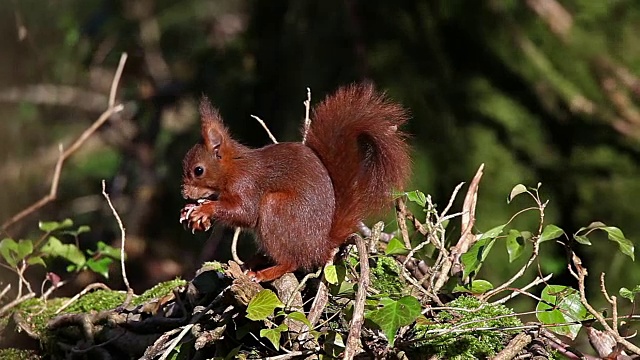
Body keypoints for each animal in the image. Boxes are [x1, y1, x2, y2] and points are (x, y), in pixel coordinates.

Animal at [180, 83, 410, 282]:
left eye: (198, 170)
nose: (184, 193)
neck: (233, 167)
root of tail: (320, 247)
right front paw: (191, 209)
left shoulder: (247, 184)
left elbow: (245, 212)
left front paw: (205, 209)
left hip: (277, 209)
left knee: (292, 262)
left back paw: (264, 273)